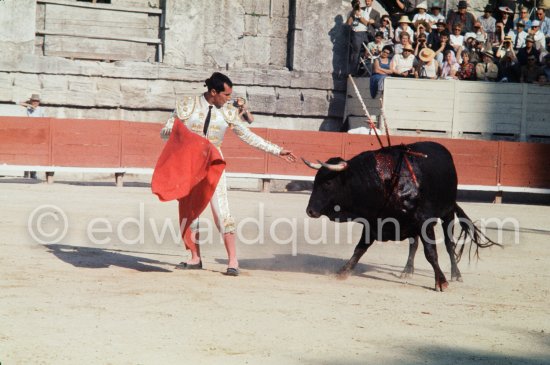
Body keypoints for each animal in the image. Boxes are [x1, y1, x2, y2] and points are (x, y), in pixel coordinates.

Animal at [304, 141, 502, 292]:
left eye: (328, 183)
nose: (310, 211)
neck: (386, 181)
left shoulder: (424, 221)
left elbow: (431, 253)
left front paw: (441, 282)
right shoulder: (373, 223)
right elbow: (359, 249)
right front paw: (343, 272)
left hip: (448, 213)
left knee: (448, 244)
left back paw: (456, 274)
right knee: (413, 245)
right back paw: (407, 270)